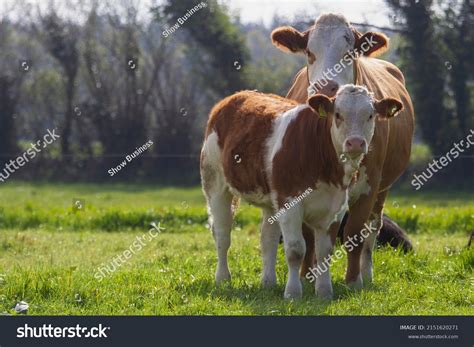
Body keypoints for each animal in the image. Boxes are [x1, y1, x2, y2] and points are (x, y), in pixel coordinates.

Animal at [200, 85, 404, 300]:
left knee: (268, 239)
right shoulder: (290, 204)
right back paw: (223, 279)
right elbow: (296, 250)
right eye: (338, 114)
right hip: (215, 183)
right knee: (222, 234)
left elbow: (324, 251)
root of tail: (237, 95)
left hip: (272, 201)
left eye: (370, 115)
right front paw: (293, 293)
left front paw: (324, 292)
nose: (355, 142)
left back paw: (268, 283)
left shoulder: (336, 208)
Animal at [270, 12, 414, 288]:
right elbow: (309, 235)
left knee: (373, 228)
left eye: (349, 53)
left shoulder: (369, 184)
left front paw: (353, 280)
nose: (325, 87)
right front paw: (307, 275)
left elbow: (354, 233)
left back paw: (366, 273)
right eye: (309, 52)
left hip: (383, 189)